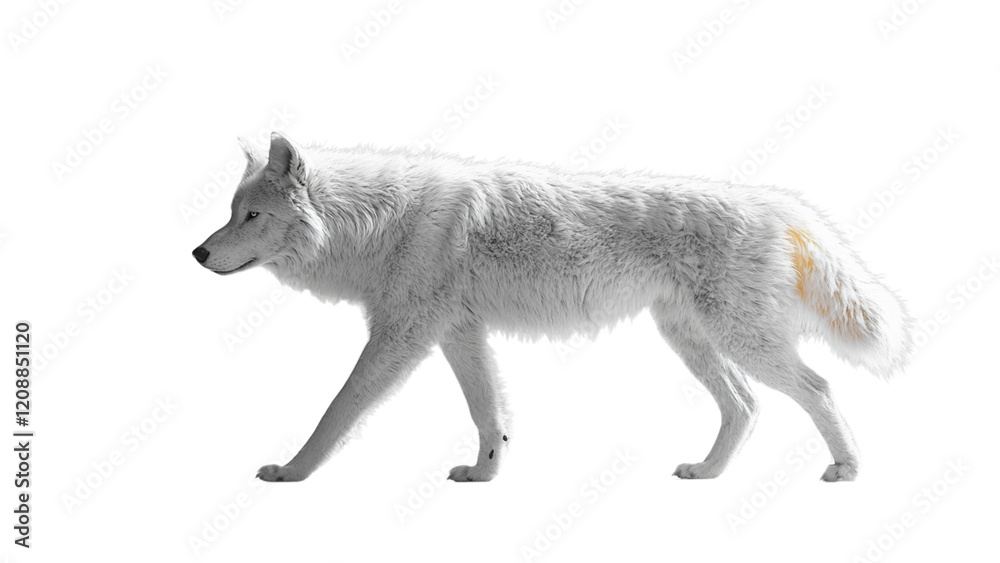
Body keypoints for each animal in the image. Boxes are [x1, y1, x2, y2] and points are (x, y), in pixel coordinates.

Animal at [193, 132, 911, 483]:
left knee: (817, 387)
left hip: (740, 341)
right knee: (745, 406)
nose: (197, 253)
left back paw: (847, 469)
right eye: (232, 212)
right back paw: (706, 472)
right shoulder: (457, 334)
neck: (375, 223)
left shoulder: (401, 337)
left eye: (252, 216)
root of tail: (779, 203)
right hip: (693, 341)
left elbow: (335, 412)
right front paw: (484, 475)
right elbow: (490, 416)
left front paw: (291, 472)